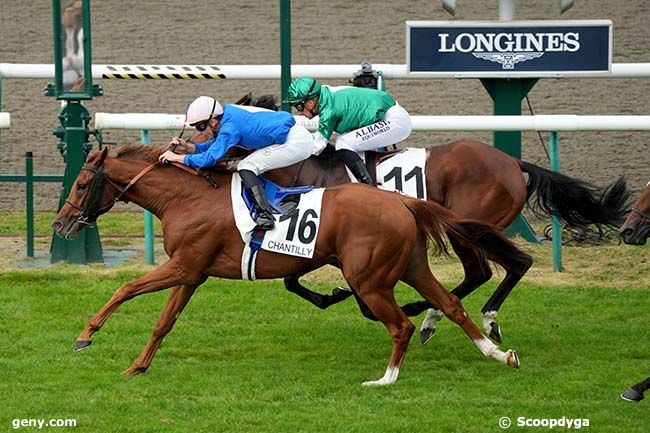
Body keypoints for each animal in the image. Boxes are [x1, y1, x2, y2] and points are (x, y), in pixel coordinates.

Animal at [52, 145, 528, 384]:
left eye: (81, 182)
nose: (60, 224)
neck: (185, 198)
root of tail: (403, 201)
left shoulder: (183, 266)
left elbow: (124, 289)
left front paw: (84, 336)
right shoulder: (193, 272)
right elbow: (163, 323)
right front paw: (138, 366)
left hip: (370, 279)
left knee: (400, 325)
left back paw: (386, 379)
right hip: (412, 267)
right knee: (450, 304)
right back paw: (498, 353)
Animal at [186, 100, 628, 340]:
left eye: (204, 131)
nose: (186, 147)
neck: (302, 163)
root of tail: (511, 161)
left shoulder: (333, 241)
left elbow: (343, 293)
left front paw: (352, 298)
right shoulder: (318, 241)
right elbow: (294, 282)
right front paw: (333, 296)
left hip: (469, 225)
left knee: (500, 267)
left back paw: (452, 314)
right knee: (491, 270)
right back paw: (440, 314)